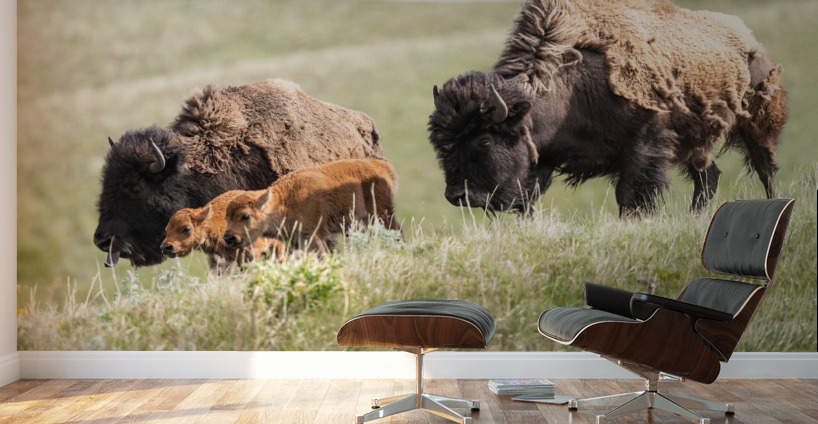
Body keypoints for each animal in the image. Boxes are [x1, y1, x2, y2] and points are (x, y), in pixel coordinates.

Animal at [222, 159, 400, 254]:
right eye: (226, 217)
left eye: (245, 216)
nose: (229, 238)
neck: (285, 201)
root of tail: (382, 166)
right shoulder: (294, 240)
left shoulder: (313, 235)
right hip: (367, 219)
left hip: (382, 214)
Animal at [428, 0, 787, 216]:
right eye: (441, 144)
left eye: (484, 141)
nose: (456, 195)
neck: (570, 89)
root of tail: (753, 42)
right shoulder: (544, 157)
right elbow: (530, 197)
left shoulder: (644, 145)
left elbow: (629, 194)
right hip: (695, 145)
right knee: (708, 176)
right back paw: (696, 217)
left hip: (757, 125)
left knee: (765, 168)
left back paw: (773, 207)